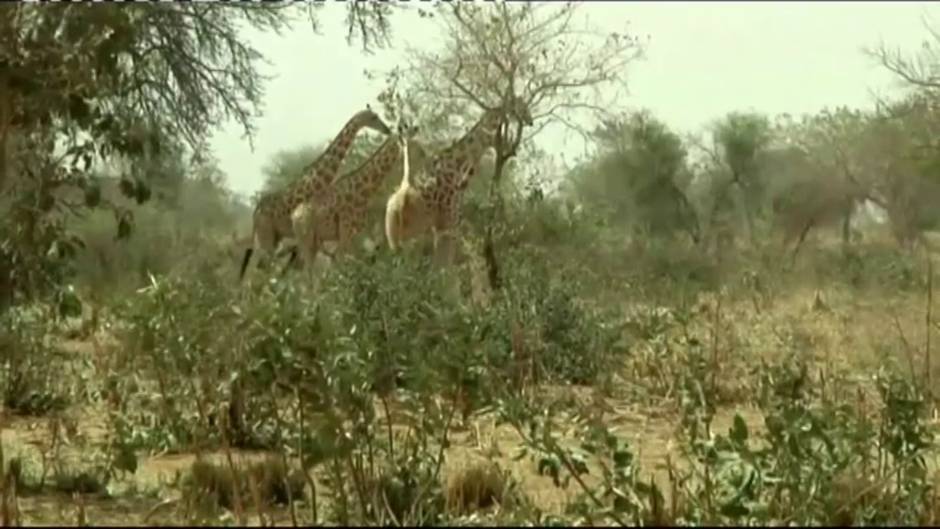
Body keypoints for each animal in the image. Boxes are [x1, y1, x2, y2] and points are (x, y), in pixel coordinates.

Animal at [242, 106, 392, 280]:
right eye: (373, 117)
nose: (387, 130)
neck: (318, 182)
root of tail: (255, 213)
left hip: (273, 238)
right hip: (266, 236)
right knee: (259, 266)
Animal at [290, 120, 430, 268]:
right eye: (416, 145)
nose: (425, 155)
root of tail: (294, 216)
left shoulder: (356, 234)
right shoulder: (347, 233)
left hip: (312, 242)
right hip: (308, 242)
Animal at [380, 96, 528, 264]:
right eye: (522, 107)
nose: (529, 120)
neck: (456, 170)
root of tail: (394, 207)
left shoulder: (441, 229)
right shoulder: (449, 226)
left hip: (395, 239)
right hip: (411, 234)